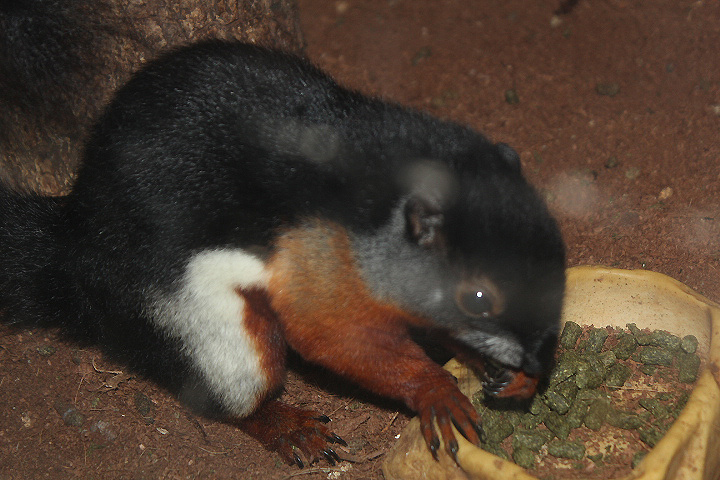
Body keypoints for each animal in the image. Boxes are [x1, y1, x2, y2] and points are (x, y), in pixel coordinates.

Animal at [0, 40, 566, 467]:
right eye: (477, 297)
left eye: (558, 257)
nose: (541, 358)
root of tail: (74, 255)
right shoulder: (320, 269)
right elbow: (336, 338)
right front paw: (437, 391)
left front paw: (510, 375)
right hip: (208, 328)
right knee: (233, 389)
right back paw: (287, 427)